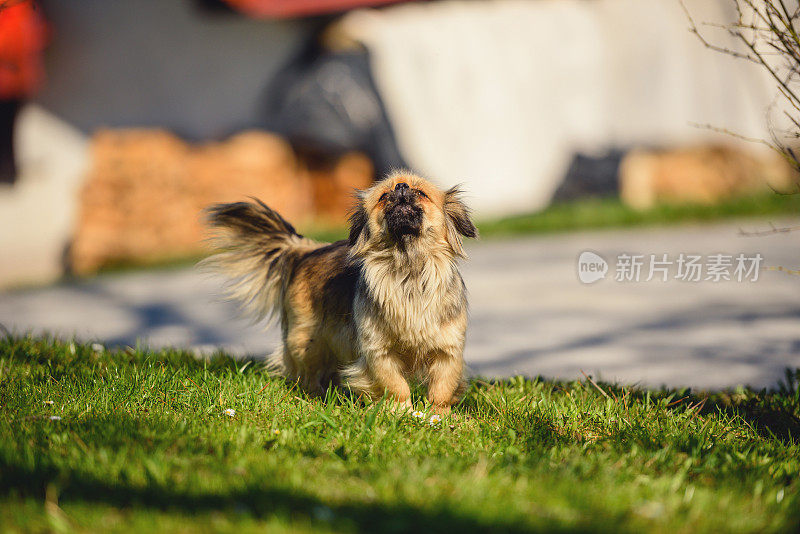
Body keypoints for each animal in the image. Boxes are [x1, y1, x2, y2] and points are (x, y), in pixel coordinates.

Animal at [205, 172, 476, 414]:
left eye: (420, 193)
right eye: (383, 196)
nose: (400, 188)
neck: (408, 271)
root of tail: (306, 250)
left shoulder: (447, 352)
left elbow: (441, 389)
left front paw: (438, 416)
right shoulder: (379, 353)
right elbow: (396, 386)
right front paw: (401, 411)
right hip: (306, 342)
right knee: (308, 375)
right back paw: (314, 397)